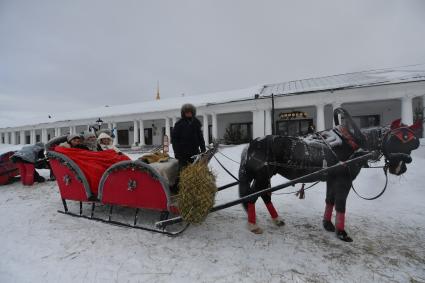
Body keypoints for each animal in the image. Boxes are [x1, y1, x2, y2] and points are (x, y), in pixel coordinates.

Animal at [238, 108, 420, 242]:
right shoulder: (344, 180)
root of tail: (252, 143)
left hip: (264, 176)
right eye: (397, 139)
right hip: (262, 175)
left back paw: (276, 219)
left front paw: (328, 224)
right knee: (252, 196)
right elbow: (340, 204)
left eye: (412, 144)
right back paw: (253, 225)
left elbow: (330, 200)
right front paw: (342, 233)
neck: (354, 144)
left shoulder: (332, 179)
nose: (401, 168)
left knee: (264, 195)